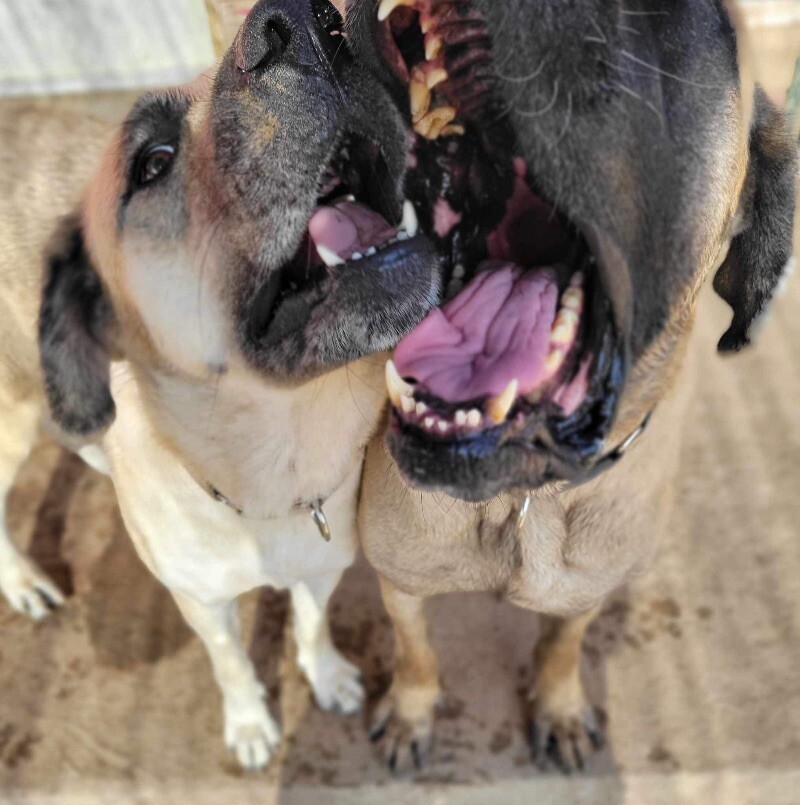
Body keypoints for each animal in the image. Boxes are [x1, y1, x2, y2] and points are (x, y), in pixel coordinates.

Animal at [0, 0, 440, 768]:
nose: (315, 23)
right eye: (152, 161)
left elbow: (311, 621)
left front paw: (325, 672)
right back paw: (22, 581)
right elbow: (231, 661)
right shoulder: (200, 602)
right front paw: (251, 723)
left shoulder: (323, 560)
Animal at [352, 0, 800, 768]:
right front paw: (411, 711)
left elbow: (562, 645)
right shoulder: (400, 581)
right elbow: (415, 650)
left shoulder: (584, 590)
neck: (521, 495)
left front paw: (558, 707)